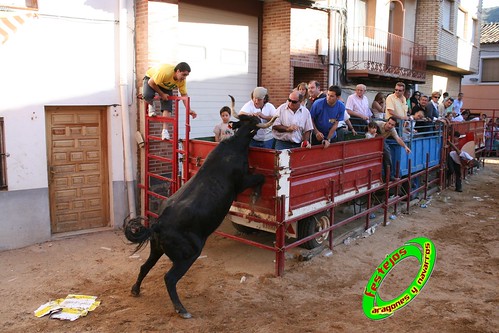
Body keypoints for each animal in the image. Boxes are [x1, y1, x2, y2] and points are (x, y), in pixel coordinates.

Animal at [124, 95, 278, 316]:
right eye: (253, 121)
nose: (259, 118)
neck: (234, 145)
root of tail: (158, 223)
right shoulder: (242, 181)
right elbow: (260, 178)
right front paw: (256, 196)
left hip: (156, 249)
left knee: (145, 267)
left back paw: (136, 290)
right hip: (189, 254)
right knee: (169, 278)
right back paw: (181, 309)